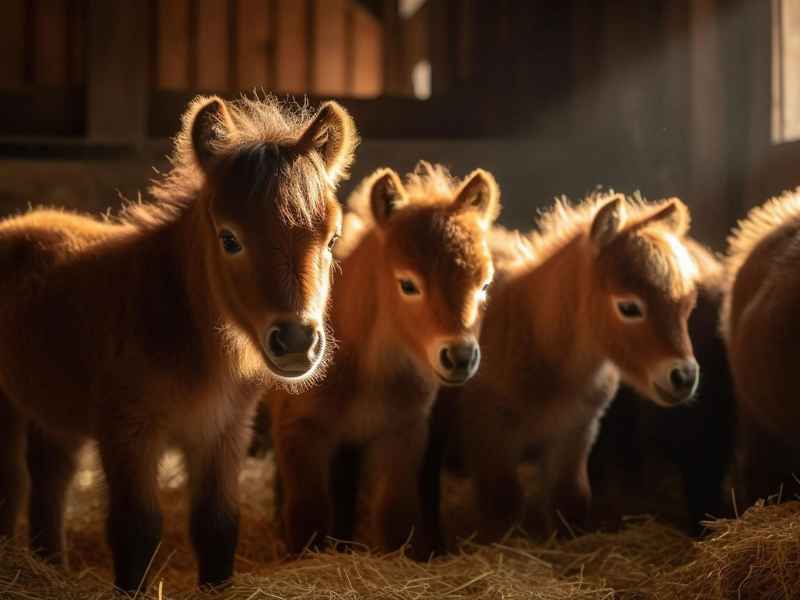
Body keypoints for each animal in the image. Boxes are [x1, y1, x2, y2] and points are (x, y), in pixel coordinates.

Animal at [0, 94, 357, 592]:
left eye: (332, 239)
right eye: (229, 239)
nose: (296, 341)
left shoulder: (222, 432)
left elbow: (217, 526)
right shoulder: (128, 433)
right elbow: (136, 530)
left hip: (52, 413)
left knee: (50, 477)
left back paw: (51, 565)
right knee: (13, 483)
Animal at [267, 162, 500, 559]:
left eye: (484, 285)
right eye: (408, 284)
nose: (459, 356)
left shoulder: (403, 432)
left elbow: (395, 513)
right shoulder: (300, 430)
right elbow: (307, 512)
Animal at [423, 192, 700, 544]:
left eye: (688, 304)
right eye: (628, 307)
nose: (684, 377)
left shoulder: (574, 434)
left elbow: (570, 499)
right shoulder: (490, 440)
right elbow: (502, 504)